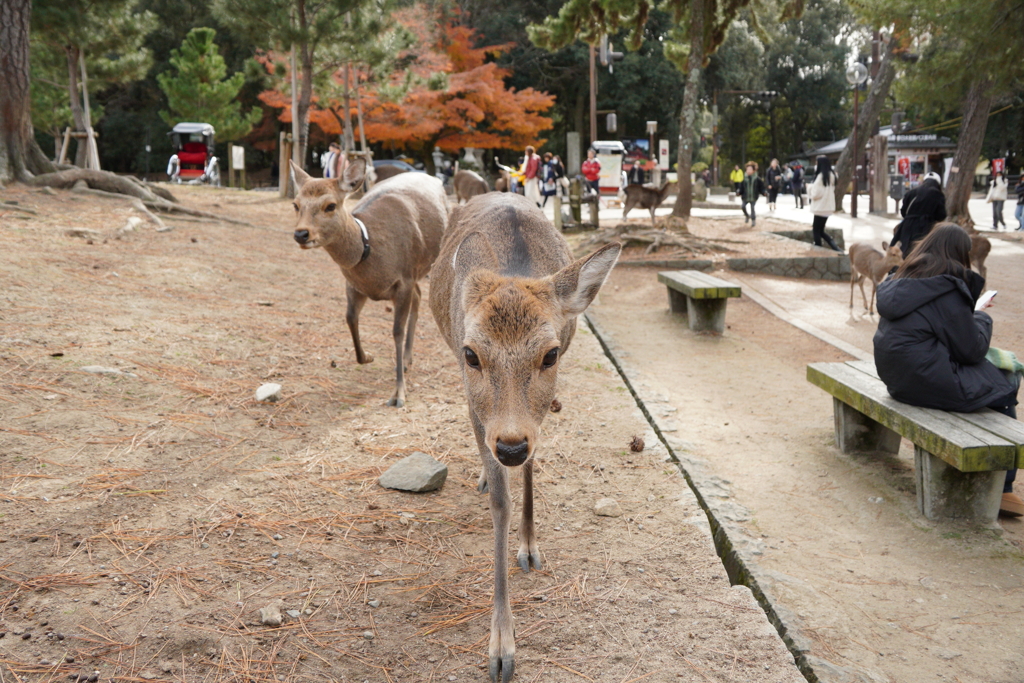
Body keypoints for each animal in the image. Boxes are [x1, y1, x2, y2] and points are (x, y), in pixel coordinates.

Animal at [288, 158, 448, 405]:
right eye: (296, 204)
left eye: (330, 205)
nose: (301, 234)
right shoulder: (353, 285)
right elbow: (350, 319)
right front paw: (368, 357)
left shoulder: (403, 281)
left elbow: (396, 331)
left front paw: (398, 393)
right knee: (419, 296)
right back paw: (407, 359)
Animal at [428, 192, 618, 683]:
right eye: (471, 353)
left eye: (550, 354)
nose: (509, 447)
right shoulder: (476, 403)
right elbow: (501, 502)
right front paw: (500, 648)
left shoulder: (539, 410)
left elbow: (533, 464)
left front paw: (530, 547)